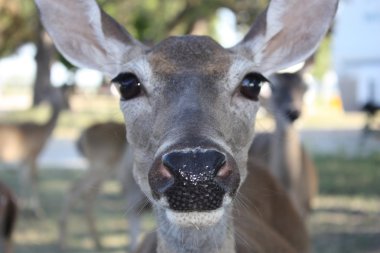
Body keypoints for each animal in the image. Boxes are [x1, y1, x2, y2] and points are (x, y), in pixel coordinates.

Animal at [0, 87, 69, 215]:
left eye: (59, 94)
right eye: (63, 95)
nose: (67, 105)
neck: (43, 132)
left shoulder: (24, 158)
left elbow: (23, 178)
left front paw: (21, 204)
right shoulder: (34, 154)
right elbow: (34, 178)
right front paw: (37, 210)